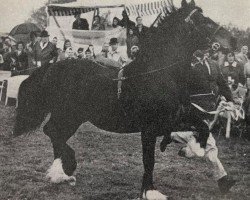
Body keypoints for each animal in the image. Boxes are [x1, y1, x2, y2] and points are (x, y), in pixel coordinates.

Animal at [12, 1, 235, 198]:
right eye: (204, 21)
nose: (232, 39)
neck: (159, 75)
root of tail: (52, 67)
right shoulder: (149, 129)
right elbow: (149, 160)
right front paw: (150, 192)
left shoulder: (174, 119)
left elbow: (203, 129)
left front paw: (190, 150)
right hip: (68, 115)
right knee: (52, 131)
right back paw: (65, 169)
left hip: (74, 117)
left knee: (54, 133)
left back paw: (62, 173)